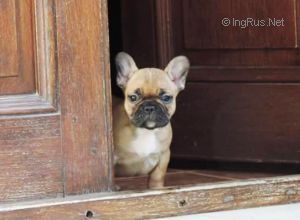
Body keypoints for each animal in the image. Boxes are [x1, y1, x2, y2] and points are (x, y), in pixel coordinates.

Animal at [113, 52, 189, 189]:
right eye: (133, 97)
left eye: (166, 98)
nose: (149, 107)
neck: (147, 131)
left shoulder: (164, 156)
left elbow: (157, 177)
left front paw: (156, 189)